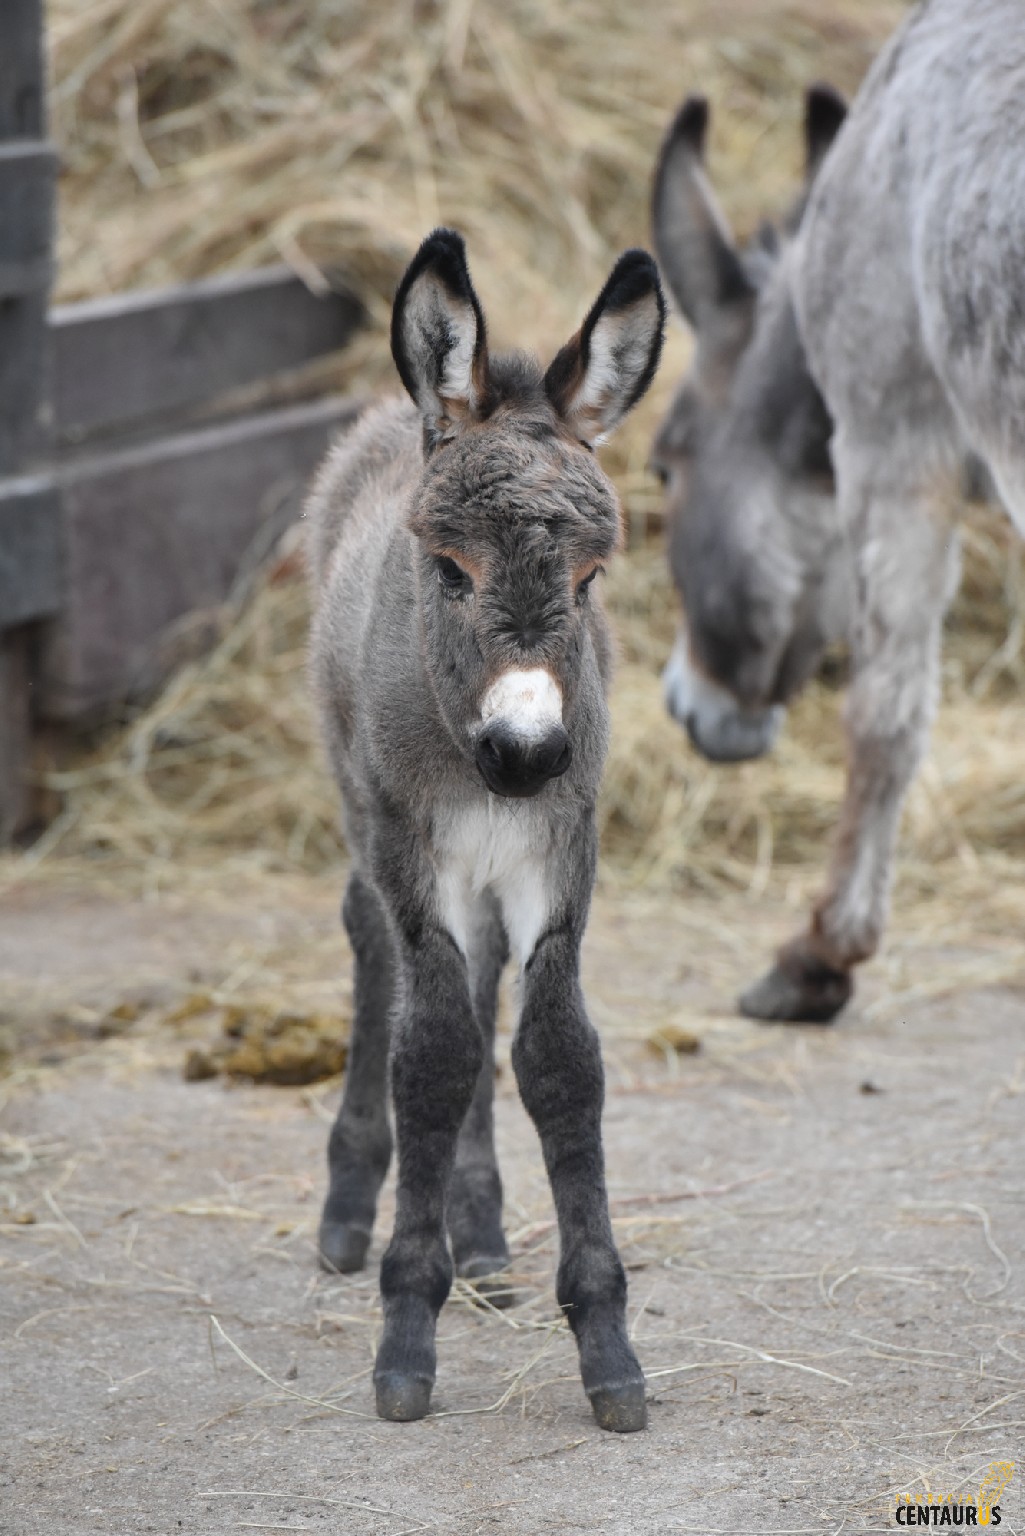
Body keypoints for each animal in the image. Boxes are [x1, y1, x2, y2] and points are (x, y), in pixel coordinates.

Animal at [304, 224, 666, 1425]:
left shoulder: (559, 854)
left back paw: (482, 1236)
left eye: (590, 579)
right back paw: (351, 1209)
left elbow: (553, 1058)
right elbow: (431, 1053)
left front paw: (605, 1346)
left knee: (477, 979)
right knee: (378, 947)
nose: (526, 750)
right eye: (448, 568)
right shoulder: (414, 852)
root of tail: (404, 408)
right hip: (365, 812)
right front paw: (404, 1335)